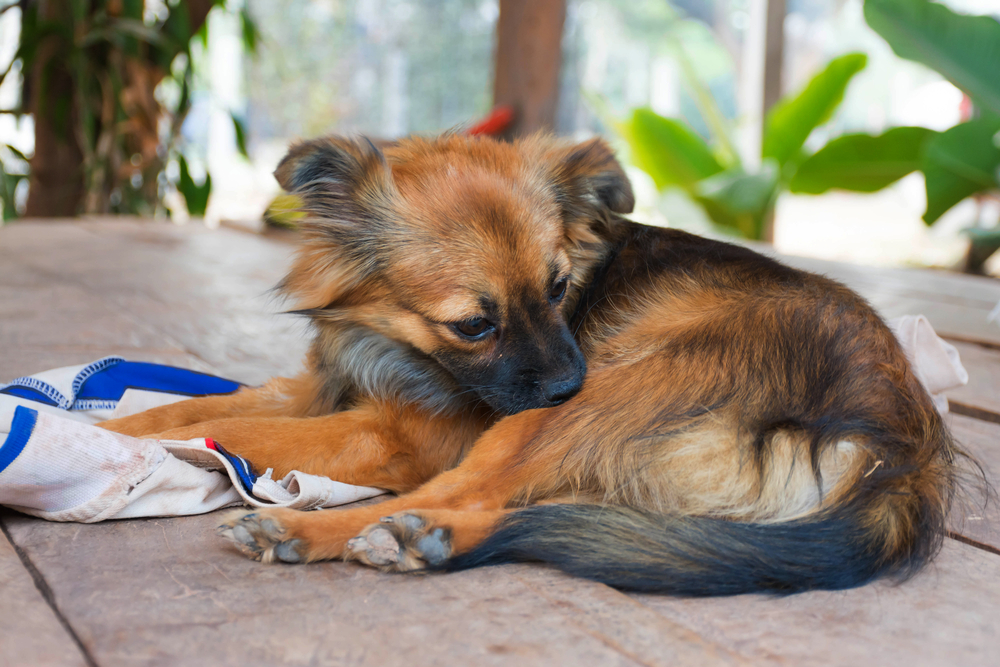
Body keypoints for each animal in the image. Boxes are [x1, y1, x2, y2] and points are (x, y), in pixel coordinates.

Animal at [99, 132, 960, 596]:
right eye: (474, 324)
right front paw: (112, 424)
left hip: (581, 408)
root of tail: (905, 453)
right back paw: (413, 538)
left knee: (472, 493)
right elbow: (195, 409)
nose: (566, 378)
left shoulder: (402, 435)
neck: (393, 345)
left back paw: (321, 529)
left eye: (557, 288)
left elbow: (239, 428)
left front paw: (115, 446)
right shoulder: (319, 386)